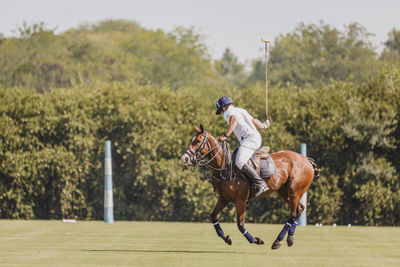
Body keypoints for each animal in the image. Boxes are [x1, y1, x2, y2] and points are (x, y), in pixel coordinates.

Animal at [181, 124, 318, 250]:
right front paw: (227, 238)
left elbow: (240, 224)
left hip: (294, 191)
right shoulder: (224, 198)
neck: (225, 167)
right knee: (299, 209)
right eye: (191, 140)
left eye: (198, 141)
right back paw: (290, 238)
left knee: (293, 214)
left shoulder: (240, 200)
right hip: (283, 191)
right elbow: (213, 216)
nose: (185, 158)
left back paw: (277, 241)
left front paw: (256, 240)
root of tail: (306, 160)